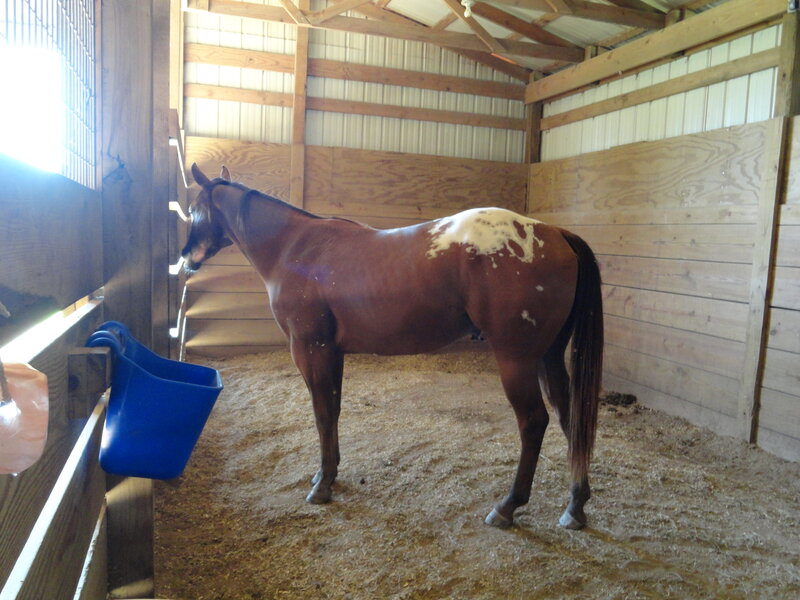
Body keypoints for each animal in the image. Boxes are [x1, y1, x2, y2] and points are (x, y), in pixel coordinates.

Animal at [182, 163, 603, 530]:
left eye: (193, 208)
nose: (186, 258)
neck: (296, 248)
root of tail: (553, 233)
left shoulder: (311, 350)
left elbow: (322, 414)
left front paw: (322, 485)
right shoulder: (332, 353)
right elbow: (333, 410)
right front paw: (327, 475)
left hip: (515, 360)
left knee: (533, 422)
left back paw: (508, 506)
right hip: (547, 357)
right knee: (569, 418)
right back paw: (575, 506)